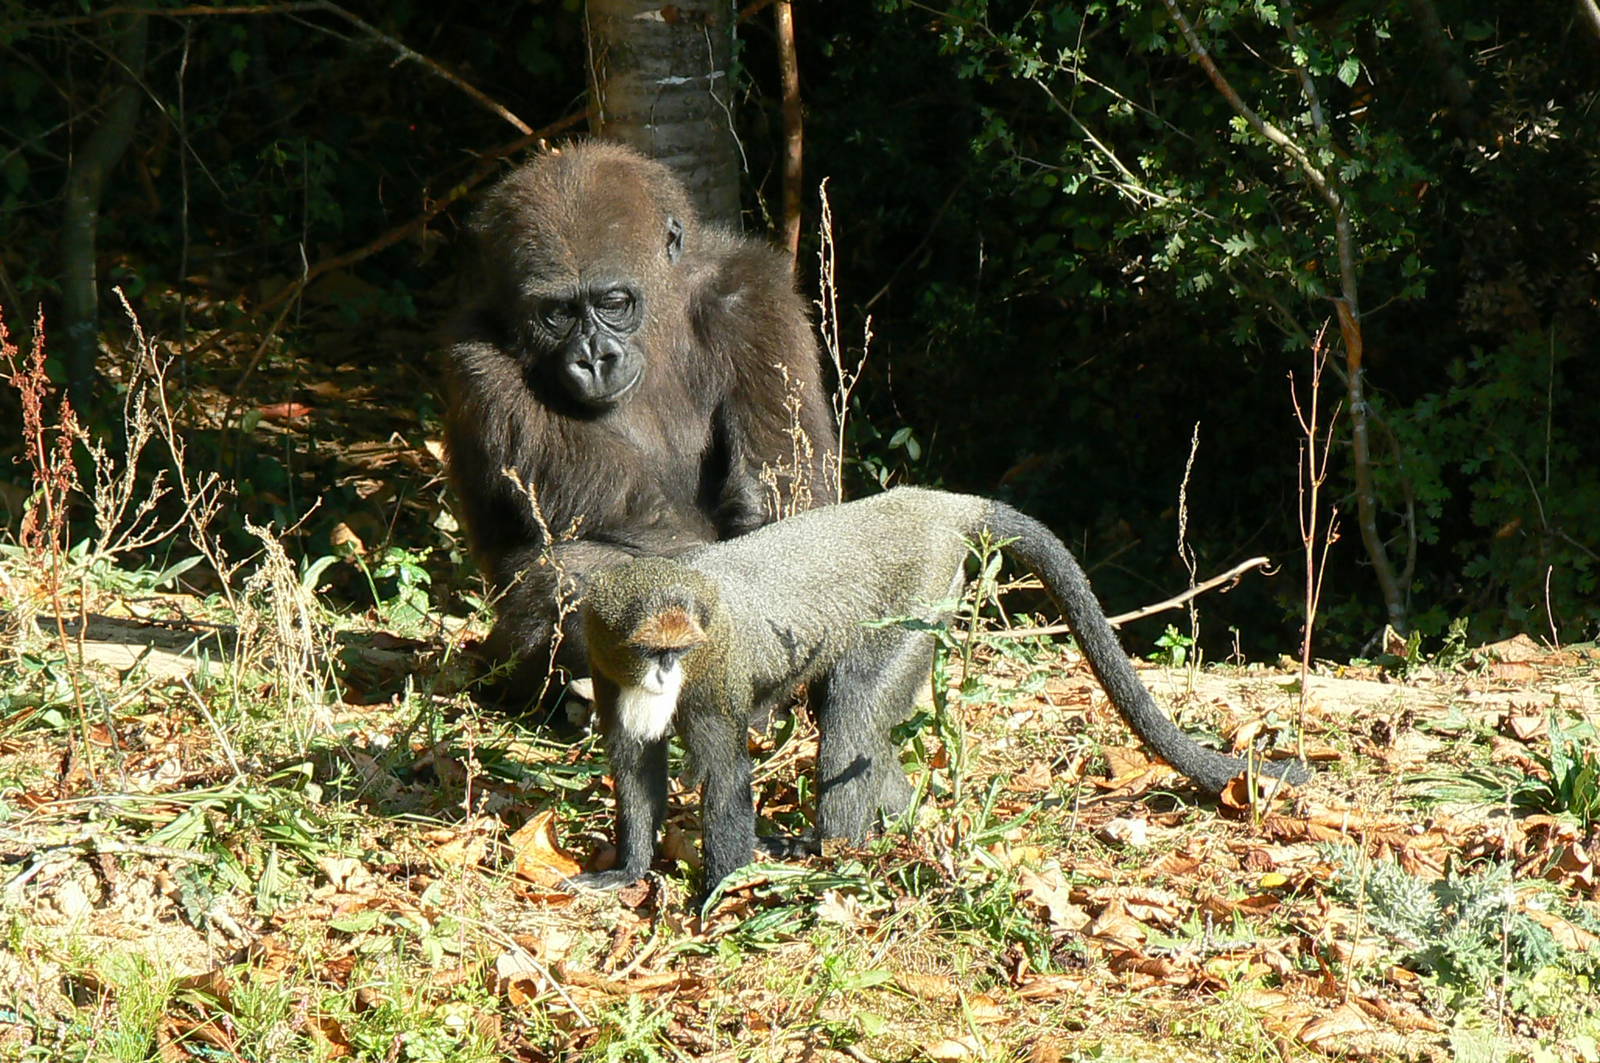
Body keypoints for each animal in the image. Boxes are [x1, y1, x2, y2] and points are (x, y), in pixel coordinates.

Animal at [443, 141, 835, 709]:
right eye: (558, 313)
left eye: (613, 303)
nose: (593, 358)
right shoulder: (473, 355)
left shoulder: (754, 297)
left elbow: (782, 492)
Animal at [566, 486, 1311, 899]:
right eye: (650, 650)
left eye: (678, 651)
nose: (663, 676)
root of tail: (937, 503)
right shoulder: (602, 660)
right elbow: (632, 765)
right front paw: (628, 871)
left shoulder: (714, 676)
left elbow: (724, 778)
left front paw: (715, 896)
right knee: (864, 728)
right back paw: (896, 825)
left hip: (919, 603)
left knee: (853, 711)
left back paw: (830, 850)